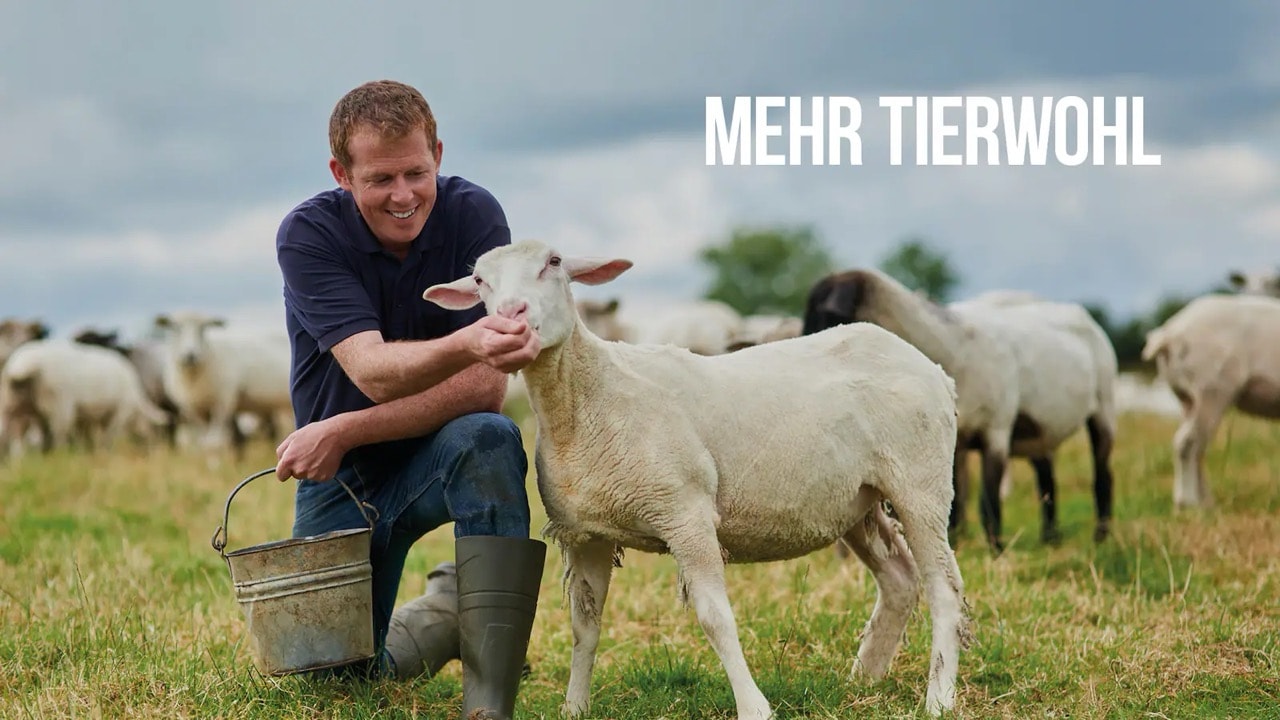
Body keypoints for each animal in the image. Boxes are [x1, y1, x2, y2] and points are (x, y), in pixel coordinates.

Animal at [0, 339, 169, 456]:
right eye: (150, 426)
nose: (153, 444)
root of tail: (20, 364)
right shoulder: (120, 413)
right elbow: (108, 437)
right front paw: (104, 453)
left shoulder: (85, 417)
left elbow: (85, 437)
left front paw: (87, 453)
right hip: (60, 405)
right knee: (58, 434)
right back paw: (60, 455)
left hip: (12, 404)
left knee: (10, 435)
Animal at [152, 311, 294, 454]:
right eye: (175, 327)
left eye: (203, 328)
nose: (190, 355)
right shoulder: (193, 409)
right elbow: (206, 443)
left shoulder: (222, 404)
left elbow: (214, 443)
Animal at [424, 240, 969, 720]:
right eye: (480, 279)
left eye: (553, 262)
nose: (510, 315)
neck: (587, 397)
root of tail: (932, 368)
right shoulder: (586, 534)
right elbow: (584, 625)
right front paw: (573, 707)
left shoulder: (685, 514)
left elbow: (714, 616)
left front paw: (754, 707)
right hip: (856, 498)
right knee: (899, 579)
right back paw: (863, 678)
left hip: (920, 481)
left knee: (943, 588)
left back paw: (938, 697)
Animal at [1141, 293, 1280, 507]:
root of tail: (1170, 333)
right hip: (1211, 389)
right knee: (1186, 442)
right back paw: (1188, 502)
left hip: (1188, 398)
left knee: (1197, 445)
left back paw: (1205, 502)